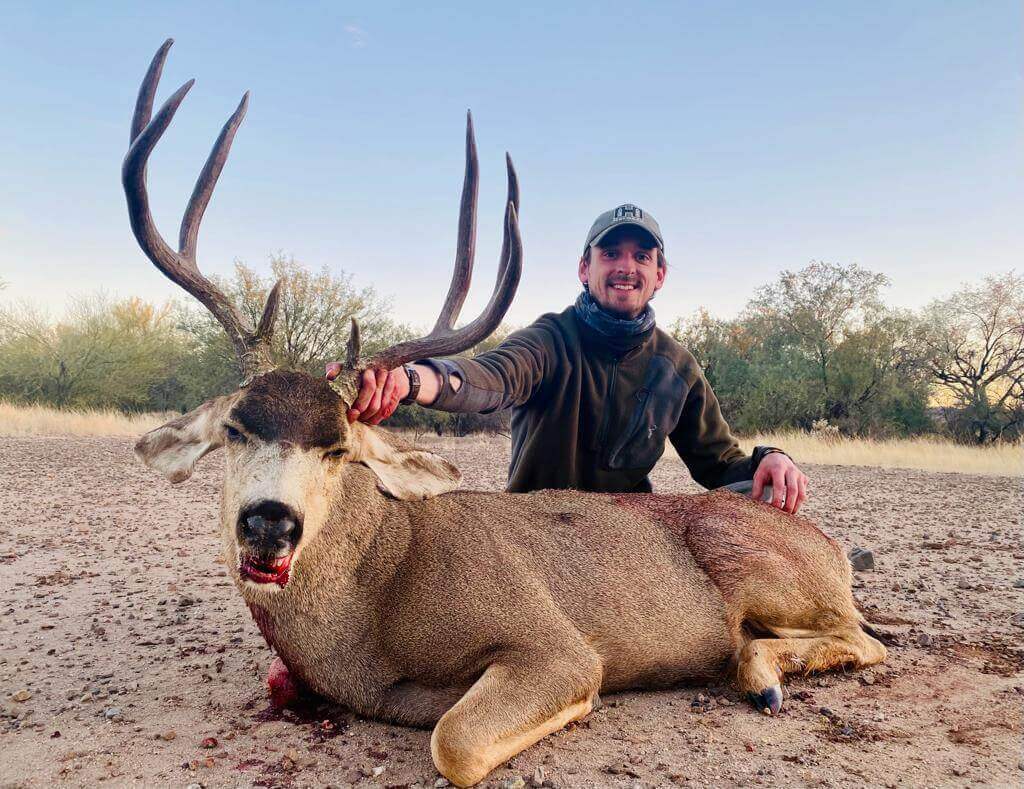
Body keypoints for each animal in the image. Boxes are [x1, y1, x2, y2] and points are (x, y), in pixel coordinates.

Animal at [123, 39, 887, 788]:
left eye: (337, 447)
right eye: (234, 429)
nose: (269, 522)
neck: (374, 602)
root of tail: (830, 547)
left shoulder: (555, 644)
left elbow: (454, 741)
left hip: (764, 570)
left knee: (865, 637)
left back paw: (758, 672)